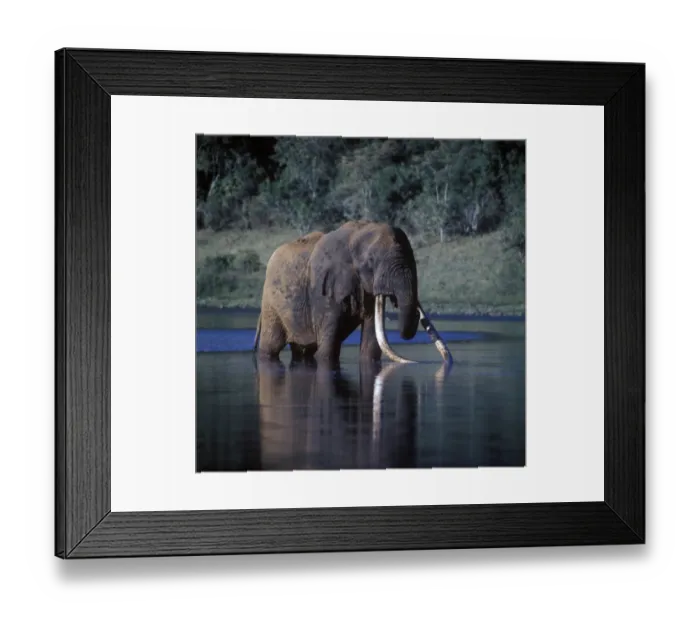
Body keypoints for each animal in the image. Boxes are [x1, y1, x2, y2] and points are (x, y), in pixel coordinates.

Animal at [253, 220, 452, 366]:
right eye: (371, 261)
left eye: (412, 258)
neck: (358, 233)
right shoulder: (323, 288)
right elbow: (327, 350)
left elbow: (370, 346)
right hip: (271, 303)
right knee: (270, 347)